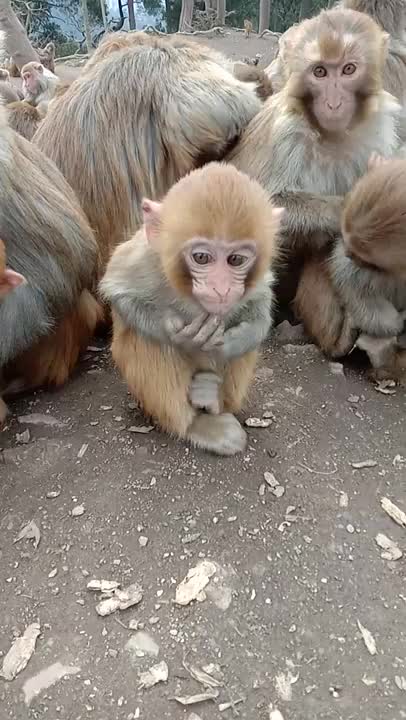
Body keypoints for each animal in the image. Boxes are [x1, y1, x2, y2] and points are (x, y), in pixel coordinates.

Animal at [99, 163, 283, 456]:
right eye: (201, 258)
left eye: (235, 260)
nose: (221, 288)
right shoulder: (145, 258)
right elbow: (117, 291)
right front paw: (181, 336)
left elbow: (260, 308)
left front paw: (229, 343)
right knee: (146, 340)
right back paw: (196, 425)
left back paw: (214, 400)